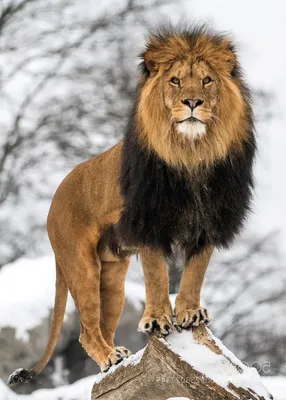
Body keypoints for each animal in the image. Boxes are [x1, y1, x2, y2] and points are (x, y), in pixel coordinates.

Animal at [8, 25, 255, 384]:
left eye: (207, 80)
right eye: (175, 81)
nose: (192, 102)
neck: (192, 154)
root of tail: (56, 196)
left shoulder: (209, 223)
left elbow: (195, 272)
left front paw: (190, 312)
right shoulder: (147, 222)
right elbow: (156, 275)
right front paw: (157, 320)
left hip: (113, 279)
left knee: (103, 325)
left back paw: (116, 360)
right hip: (81, 265)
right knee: (86, 330)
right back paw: (110, 357)